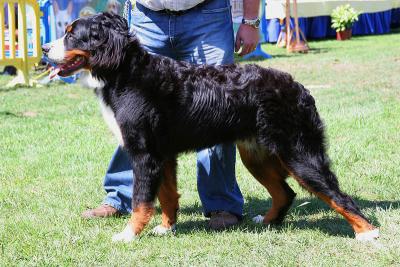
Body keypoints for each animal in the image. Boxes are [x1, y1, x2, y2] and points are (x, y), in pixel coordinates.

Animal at [42, 12, 380, 243]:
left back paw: (367, 232)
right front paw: (165, 228)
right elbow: (167, 195)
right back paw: (266, 222)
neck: (125, 72)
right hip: (256, 154)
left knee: (336, 194)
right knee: (284, 192)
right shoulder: (162, 155)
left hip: (298, 154)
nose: (44, 49)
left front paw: (128, 235)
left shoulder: (145, 154)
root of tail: (298, 87)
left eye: (72, 36)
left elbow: (141, 199)